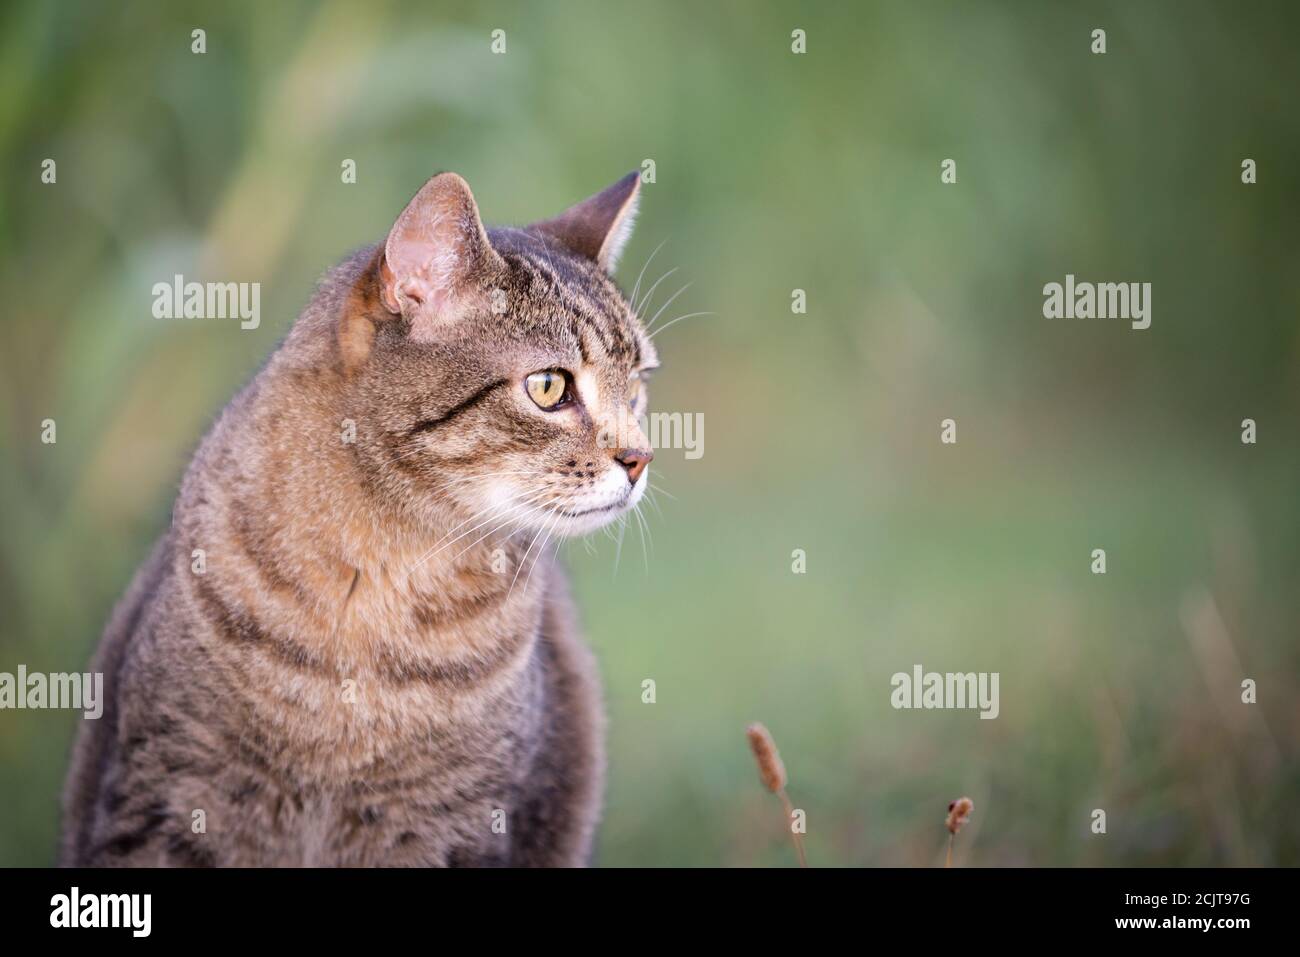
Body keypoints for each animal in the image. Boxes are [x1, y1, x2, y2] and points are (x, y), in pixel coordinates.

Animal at [61, 171, 655, 868]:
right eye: (549, 387)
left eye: (636, 390)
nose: (641, 458)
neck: (378, 576)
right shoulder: (168, 799)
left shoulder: (455, 828)